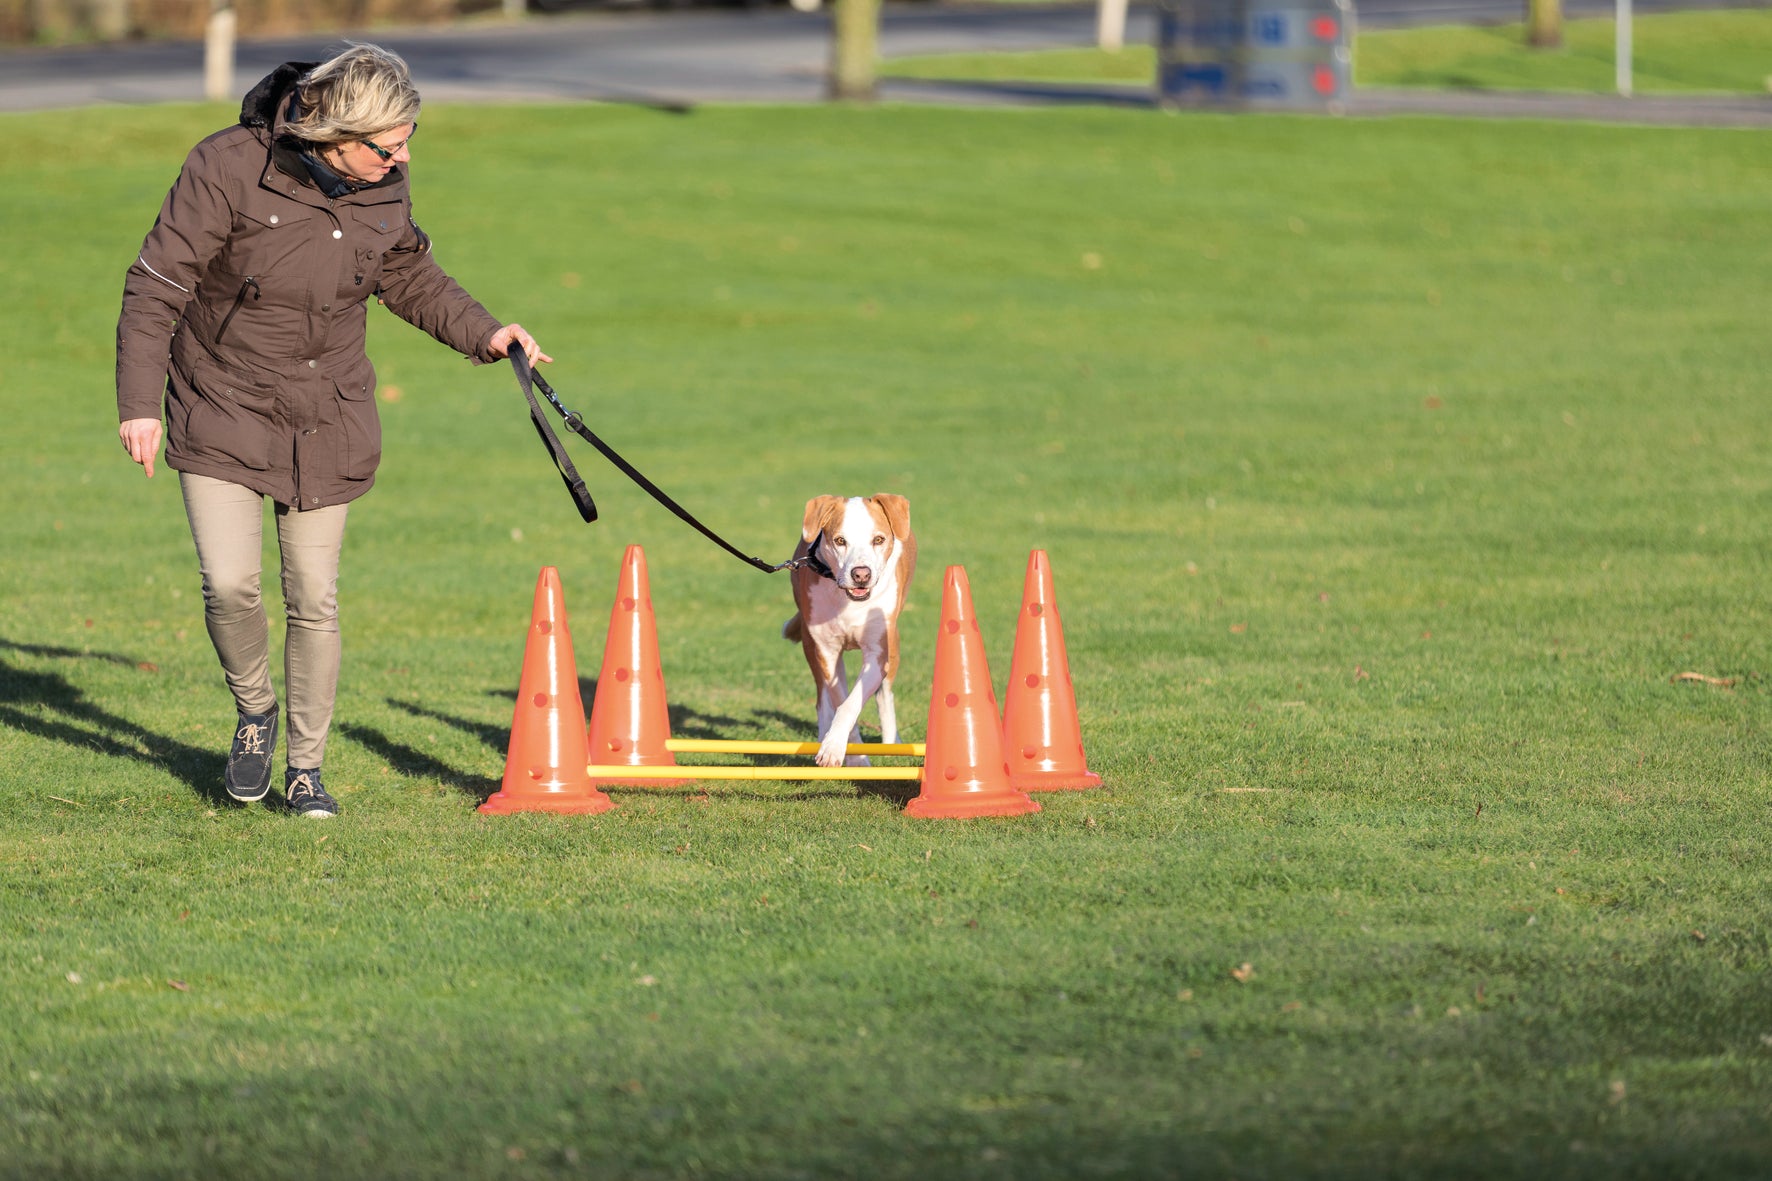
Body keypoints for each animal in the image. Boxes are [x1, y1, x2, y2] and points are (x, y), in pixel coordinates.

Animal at [790, 492, 928, 769]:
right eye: (840, 541)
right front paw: (850, 755)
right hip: (811, 646)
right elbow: (840, 699)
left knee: (884, 694)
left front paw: (838, 747)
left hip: (893, 645)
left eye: (879, 539)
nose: (861, 574)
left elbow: (852, 702)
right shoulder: (827, 650)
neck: (848, 601)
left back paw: (891, 743)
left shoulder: (878, 652)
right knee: (823, 696)